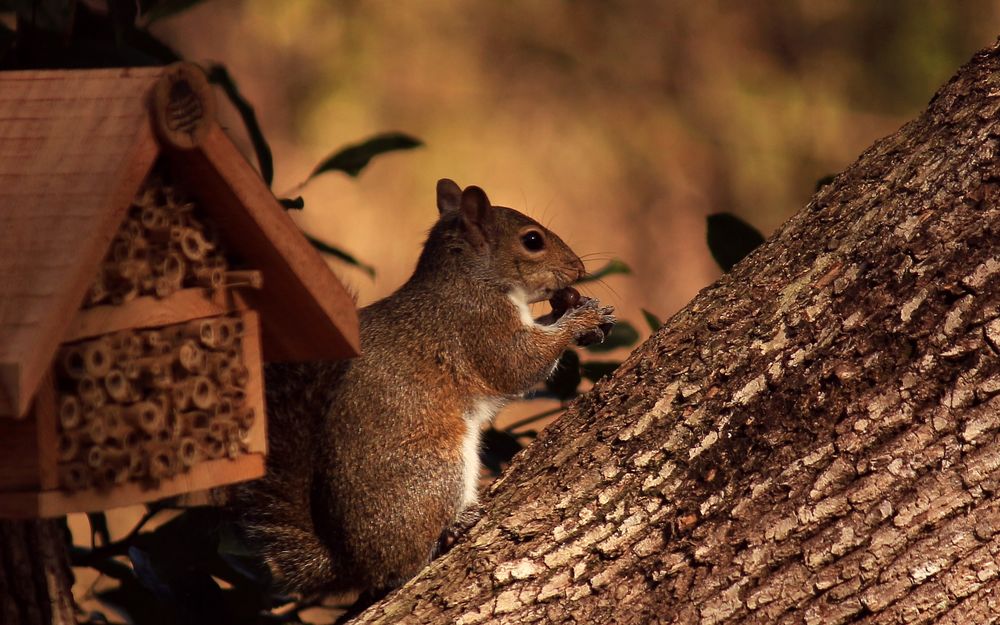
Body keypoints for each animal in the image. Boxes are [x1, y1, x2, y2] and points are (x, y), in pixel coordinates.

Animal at [232, 179, 616, 596]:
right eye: (532, 240)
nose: (579, 269)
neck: (469, 276)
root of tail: (350, 564)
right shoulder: (477, 323)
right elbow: (517, 365)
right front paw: (580, 319)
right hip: (438, 467)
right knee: (406, 565)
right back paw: (450, 529)